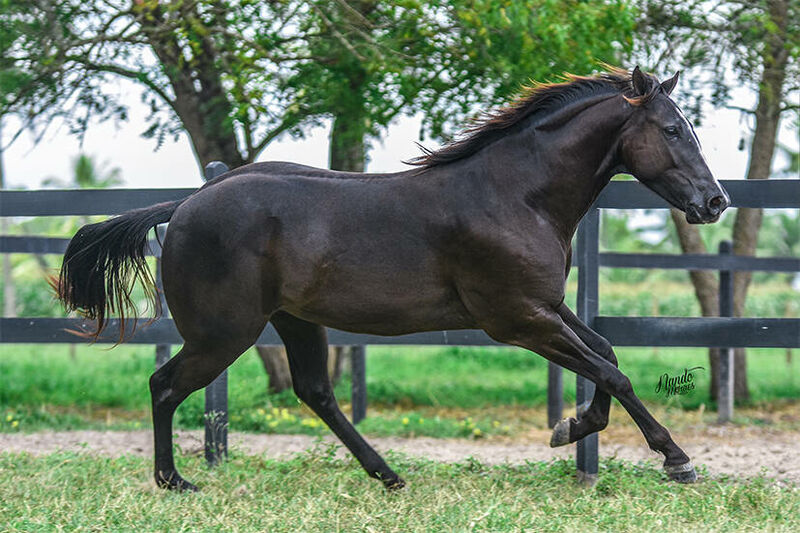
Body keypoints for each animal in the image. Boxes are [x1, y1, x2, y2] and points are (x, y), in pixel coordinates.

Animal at [54, 66, 732, 490]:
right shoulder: (516, 318)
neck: (516, 195)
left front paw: (571, 429)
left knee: (315, 392)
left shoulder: (545, 307)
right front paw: (676, 460)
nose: (715, 201)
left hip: (292, 320)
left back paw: (388, 475)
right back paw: (175, 481)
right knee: (165, 385)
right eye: (673, 129)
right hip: (224, 333)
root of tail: (185, 204)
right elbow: (610, 370)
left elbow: (606, 355)